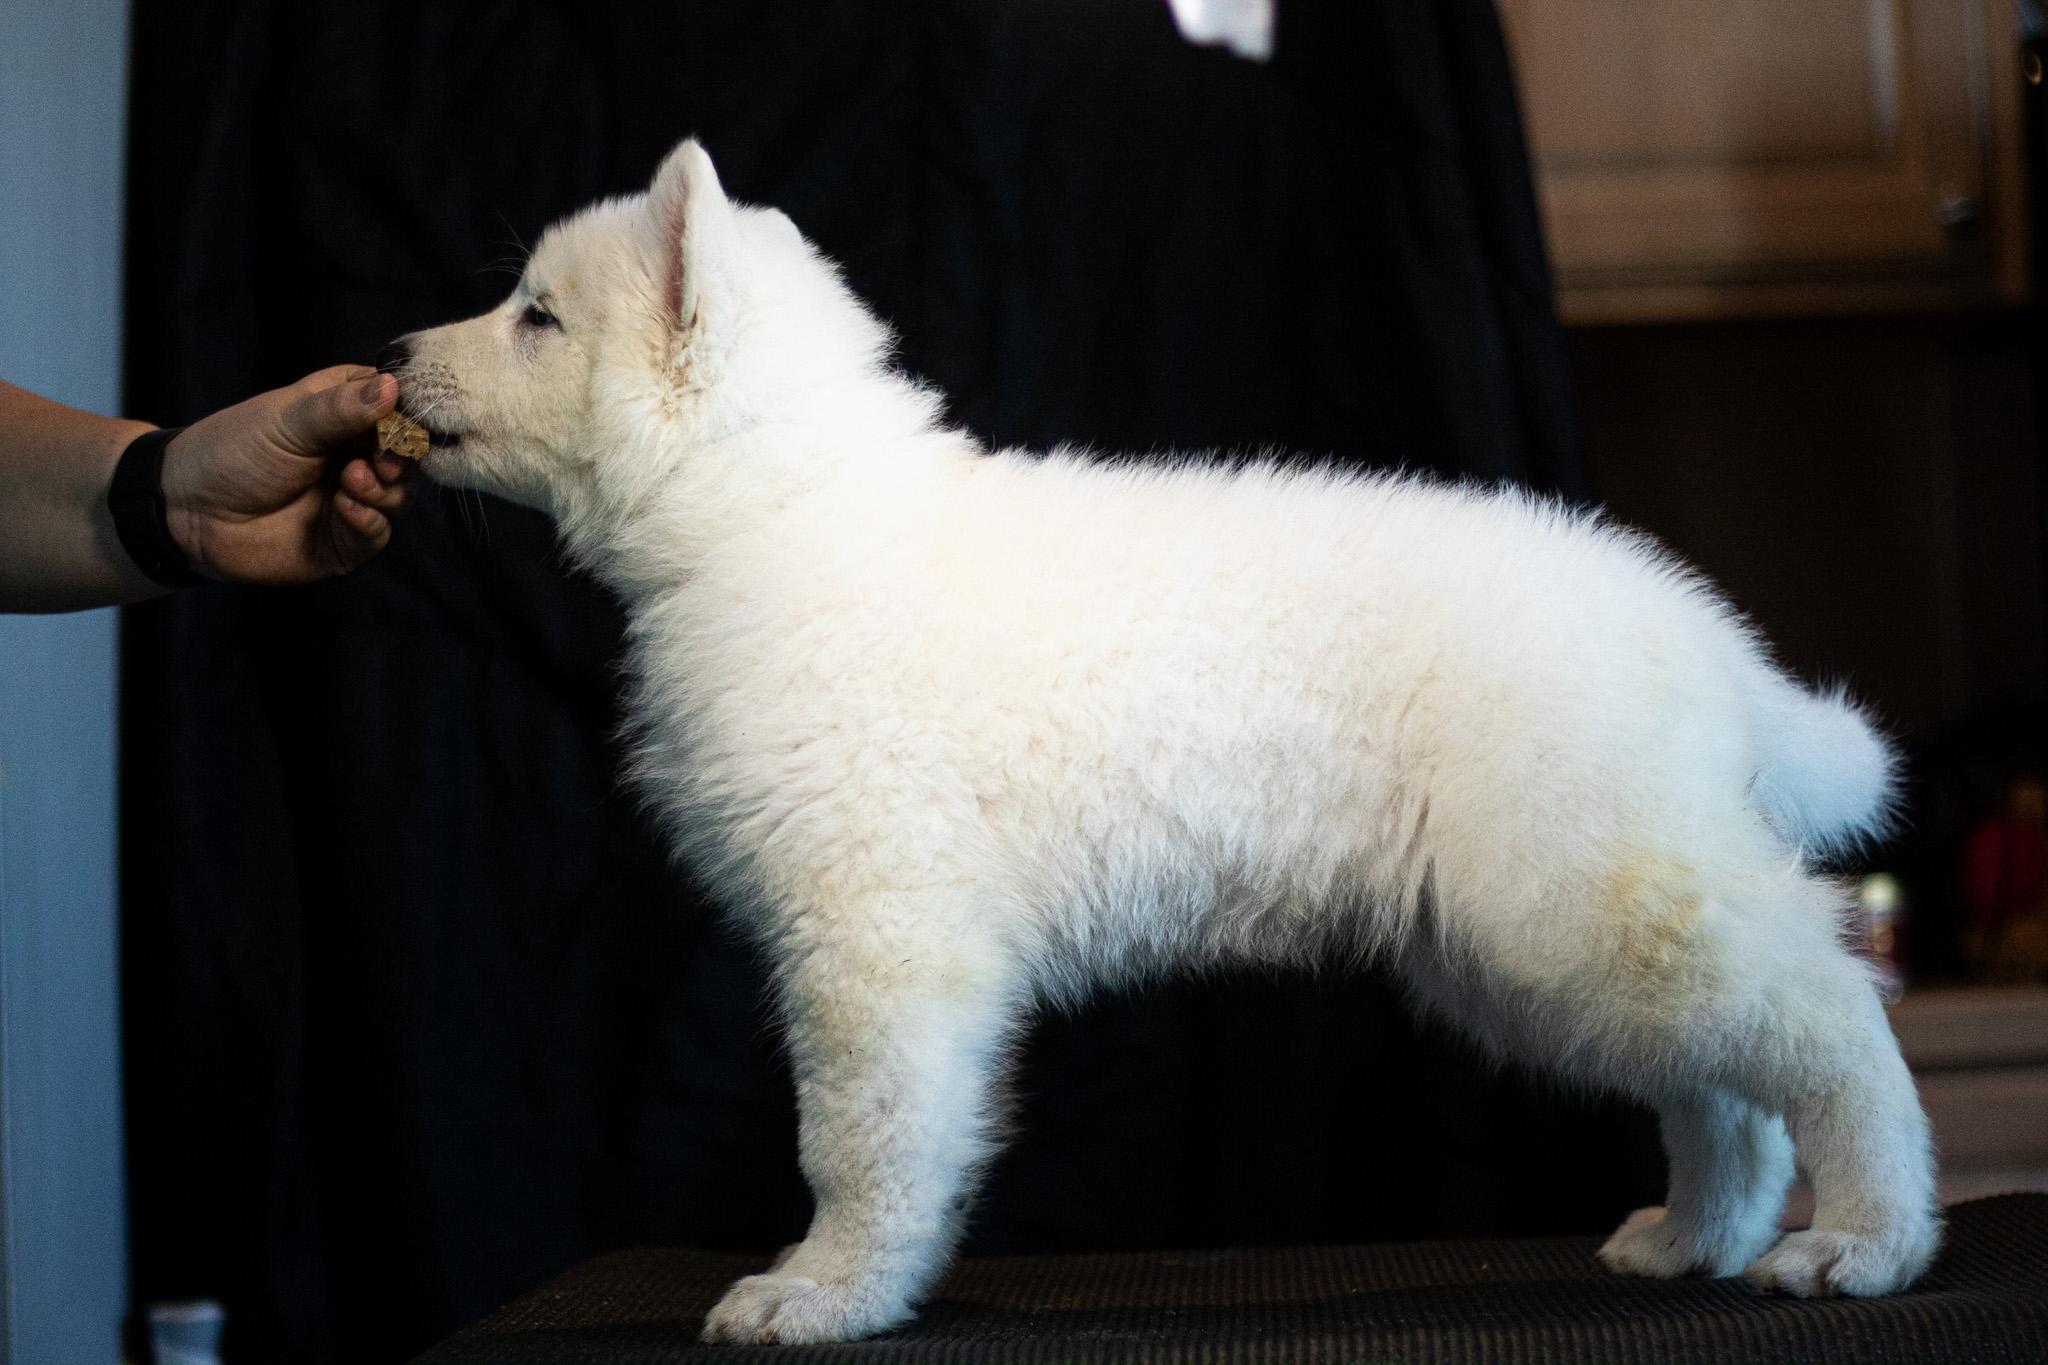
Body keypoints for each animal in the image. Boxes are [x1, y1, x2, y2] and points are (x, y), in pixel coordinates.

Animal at [387, 138, 1939, 1345]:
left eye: (535, 317)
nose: (394, 359)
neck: (773, 509)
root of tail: (1701, 637)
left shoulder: (876, 935)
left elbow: (861, 1137)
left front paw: (825, 1292)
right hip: (1529, 938)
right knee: (1718, 1082)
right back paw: (1699, 1237)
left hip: (1579, 886)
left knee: (1824, 1016)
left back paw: (1867, 1239)